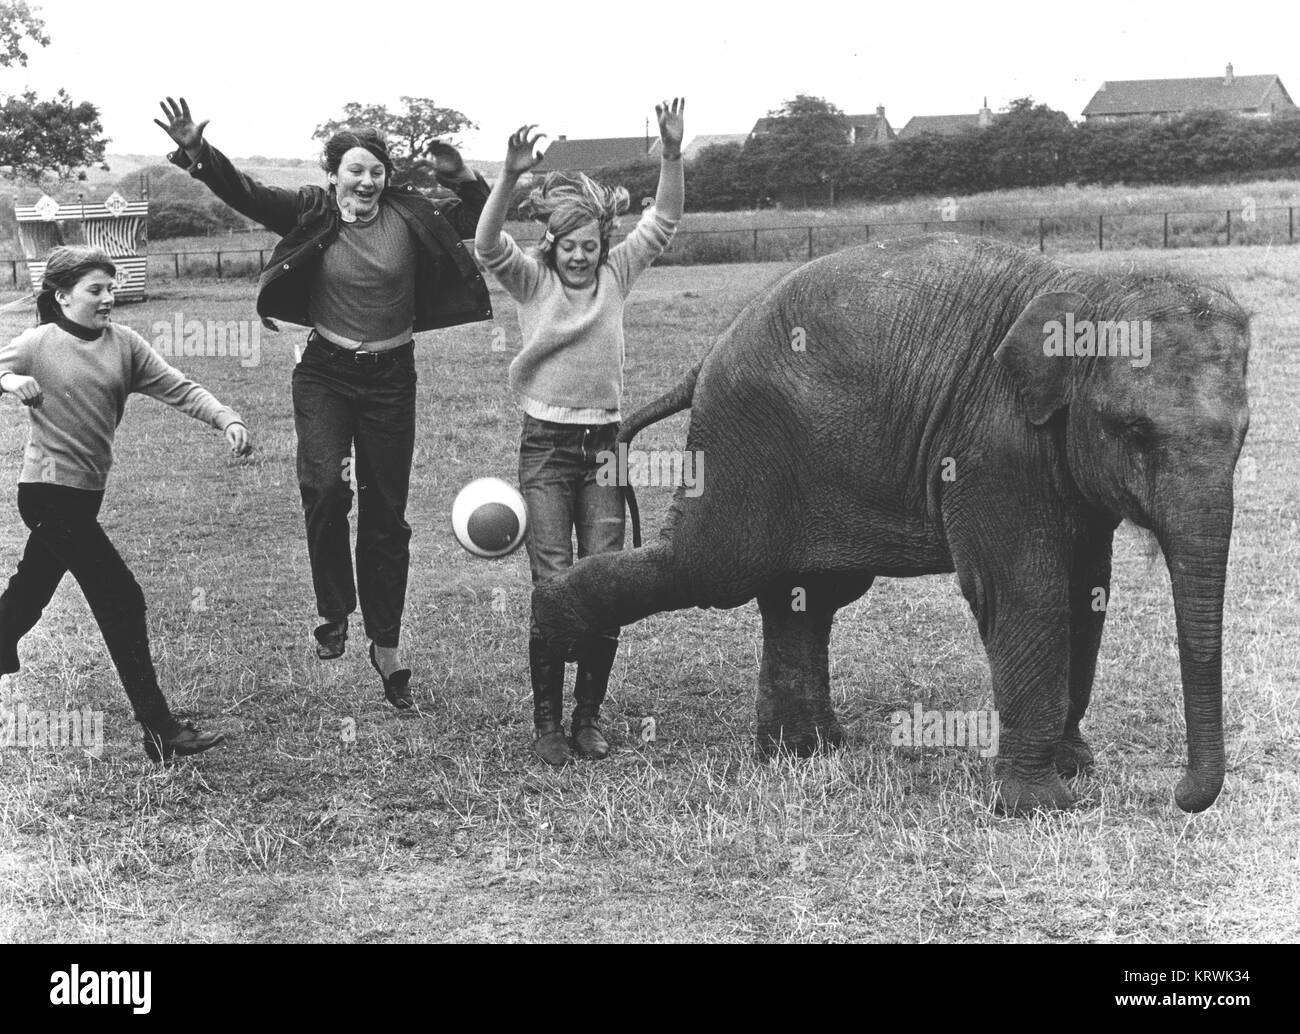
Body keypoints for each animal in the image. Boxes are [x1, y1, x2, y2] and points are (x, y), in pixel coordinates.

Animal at [530, 234, 1248, 816]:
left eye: (1244, 436)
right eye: (1133, 431)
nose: (1180, 796)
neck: (1083, 289)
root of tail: (704, 360)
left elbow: (1087, 593)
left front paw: (1077, 769)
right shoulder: (993, 447)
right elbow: (1025, 592)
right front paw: (1041, 807)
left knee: (807, 595)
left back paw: (804, 751)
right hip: (744, 442)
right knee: (713, 568)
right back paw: (552, 673)